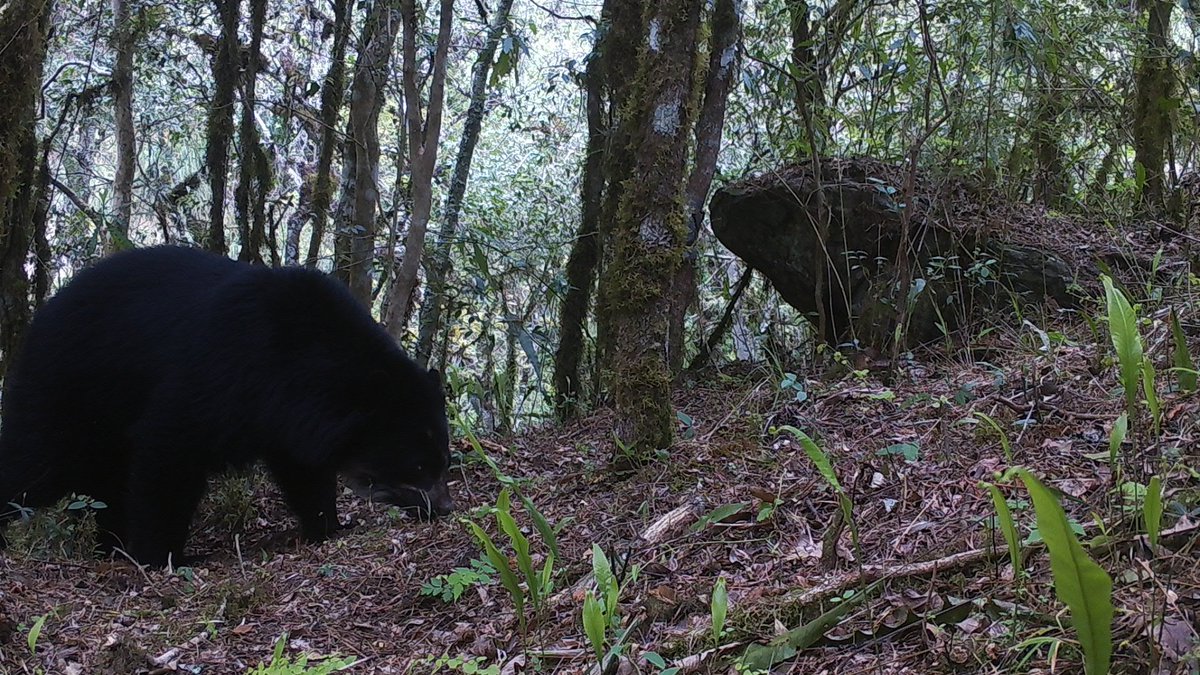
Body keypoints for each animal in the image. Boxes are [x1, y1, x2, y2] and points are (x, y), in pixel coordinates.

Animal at [0, 245, 453, 567]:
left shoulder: (287, 420)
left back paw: (109, 545)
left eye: (444, 460)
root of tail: (41, 317)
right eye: (416, 467)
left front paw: (328, 525)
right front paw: (162, 556)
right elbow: (168, 456)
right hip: (65, 396)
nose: (445, 509)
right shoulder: (216, 376)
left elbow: (303, 474)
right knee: (33, 464)